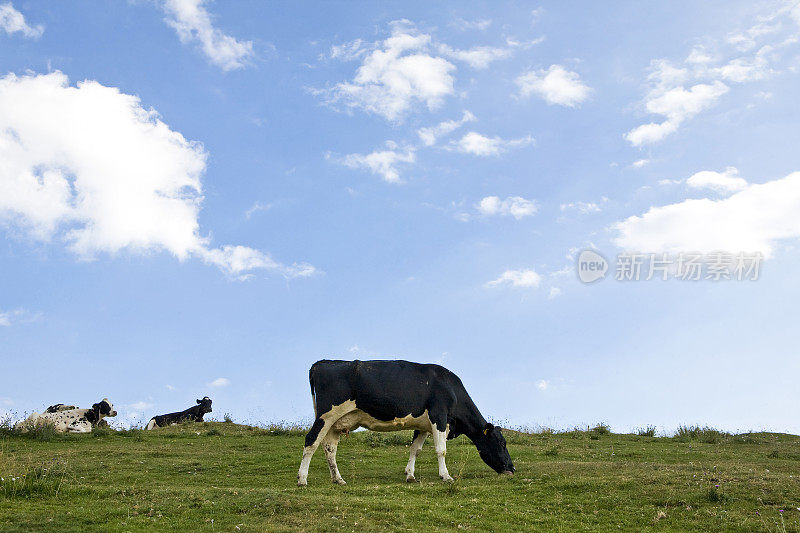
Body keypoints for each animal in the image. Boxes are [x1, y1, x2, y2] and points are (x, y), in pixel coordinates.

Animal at [296, 358, 516, 486]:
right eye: (501, 443)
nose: (512, 469)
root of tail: (323, 362)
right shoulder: (439, 416)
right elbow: (441, 450)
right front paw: (446, 476)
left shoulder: (423, 425)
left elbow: (415, 450)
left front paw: (410, 475)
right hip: (326, 415)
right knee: (311, 441)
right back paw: (302, 479)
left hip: (337, 422)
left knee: (329, 448)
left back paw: (338, 479)